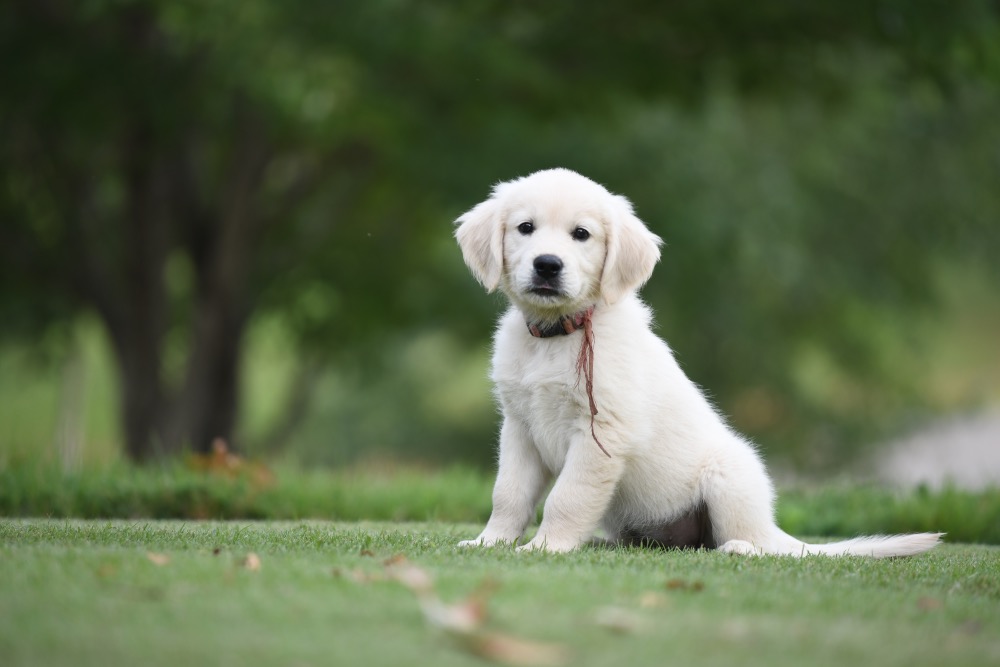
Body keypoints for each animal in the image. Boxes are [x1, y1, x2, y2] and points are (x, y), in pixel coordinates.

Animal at [458, 168, 940, 560]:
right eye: (525, 228)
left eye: (582, 234)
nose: (547, 265)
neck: (559, 333)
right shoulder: (519, 427)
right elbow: (508, 494)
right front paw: (490, 542)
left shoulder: (602, 431)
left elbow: (567, 497)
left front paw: (546, 547)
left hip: (730, 479)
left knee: (756, 544)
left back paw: (741, 547)